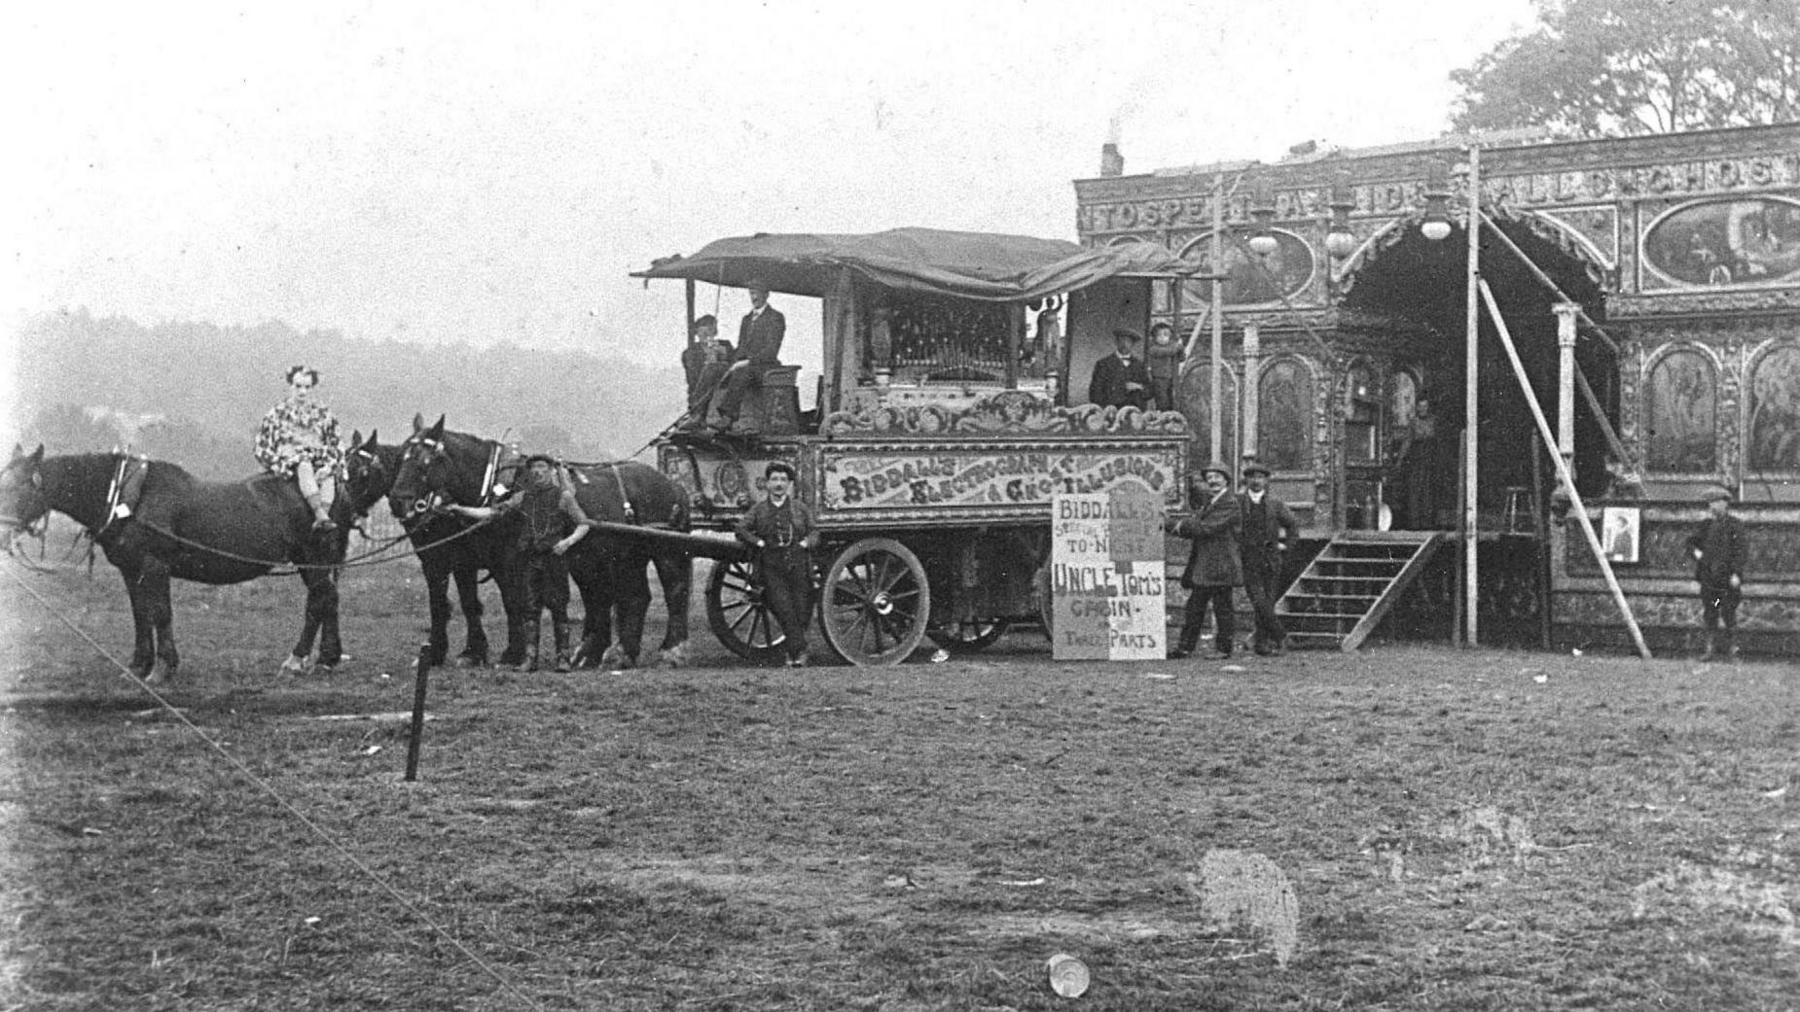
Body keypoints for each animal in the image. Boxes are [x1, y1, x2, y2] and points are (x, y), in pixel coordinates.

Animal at [0, 441, 361, 677]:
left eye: (19, 487)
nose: (3, 535)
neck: (129, 497)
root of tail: (334, 487)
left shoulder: (154, 566)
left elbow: (160, 613)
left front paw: (163, 668)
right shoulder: (131, 570)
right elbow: (140, 614)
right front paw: (139, 665)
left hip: (312, 557)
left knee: (320, 600)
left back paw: (297, 659)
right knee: (328, 599)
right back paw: (326, 657)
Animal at [390, 414, 691, 666]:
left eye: (427, 460)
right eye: (401, 457)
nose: (397, 501)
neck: (495, 487)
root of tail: (673, 485)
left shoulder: (507, 560)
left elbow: (513, 601)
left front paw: (512, 653)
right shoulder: (458, 560)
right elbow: (457, 604)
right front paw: (463, 653)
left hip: (664, 552)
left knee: (674, 591)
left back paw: (670, 650)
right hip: (625, 557)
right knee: (637, 597)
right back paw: (619, 653)